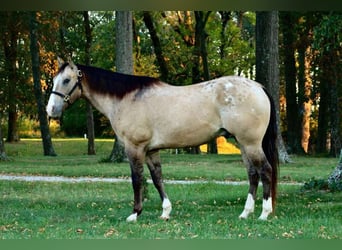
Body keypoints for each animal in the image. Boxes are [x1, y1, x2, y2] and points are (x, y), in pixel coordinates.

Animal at [46, 57, 278, 222]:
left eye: (66, 80)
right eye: (54, 80)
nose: (50, 111)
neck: (126, 98)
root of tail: (258, 87)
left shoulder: (135, 148)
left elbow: (137, 179)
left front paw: (135, 213)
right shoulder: (151, 150)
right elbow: (157, 179)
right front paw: (165, 212)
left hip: (250, 143)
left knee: (265, 171)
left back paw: (264, 214)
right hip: (243, 144)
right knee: (252, 174)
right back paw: (245, 213)